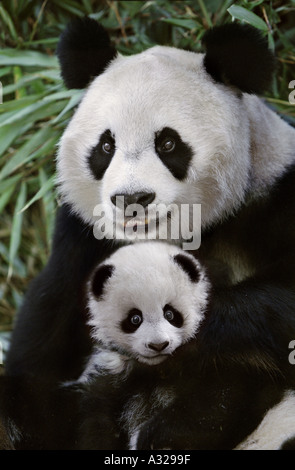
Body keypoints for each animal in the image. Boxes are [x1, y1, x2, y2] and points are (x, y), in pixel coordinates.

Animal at [4, 17, 295, 448]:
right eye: (106, 146)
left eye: (168, 143)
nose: (131, 198)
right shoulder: (82, 237)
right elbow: (43, 333)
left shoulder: (276, 197)